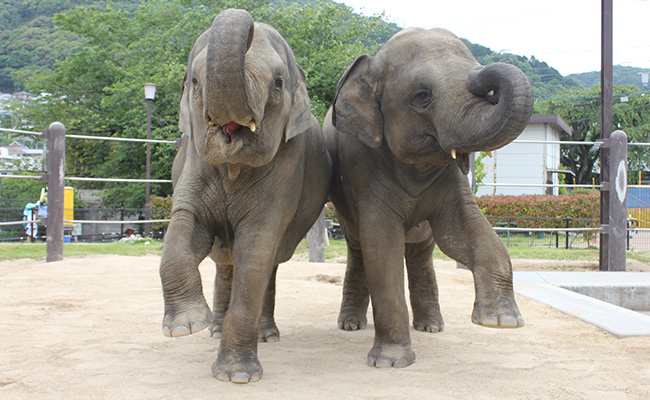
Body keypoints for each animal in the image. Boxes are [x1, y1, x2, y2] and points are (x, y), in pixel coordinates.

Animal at [157, 9, 330, 382]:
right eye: (195, 81)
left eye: (278, 83)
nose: (250, 21)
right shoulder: (194, 162)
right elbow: (183, 228)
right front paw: (186, 326)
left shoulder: (287, 168)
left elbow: (256, 251)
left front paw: (236, 376)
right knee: (225, 261)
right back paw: (214, 329)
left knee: (265, 263)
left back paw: (266, 336)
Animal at [324, 28, 532, 368]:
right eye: (422, 96)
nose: (483, 75)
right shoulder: (364, 169)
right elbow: (382, 249)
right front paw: (391, 362)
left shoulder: (452, 179)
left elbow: (465, 231)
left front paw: (501, 322)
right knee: (358, 248)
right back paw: (351, 326)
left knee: (422, 252)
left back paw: (431, 326)